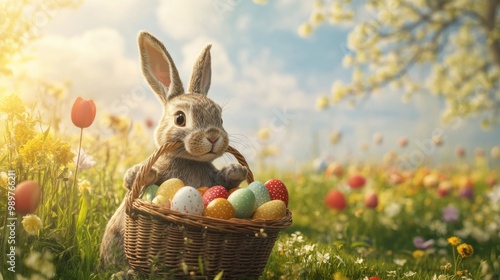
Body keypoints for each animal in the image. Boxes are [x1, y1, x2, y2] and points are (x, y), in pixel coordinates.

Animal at [100, 31, 250, 276]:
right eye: (180, 118)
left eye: (220, 118)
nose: (213, 135)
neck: (189, 160)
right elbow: (133, 182)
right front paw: (143, 173)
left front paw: (236, 170)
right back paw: (123, 273)